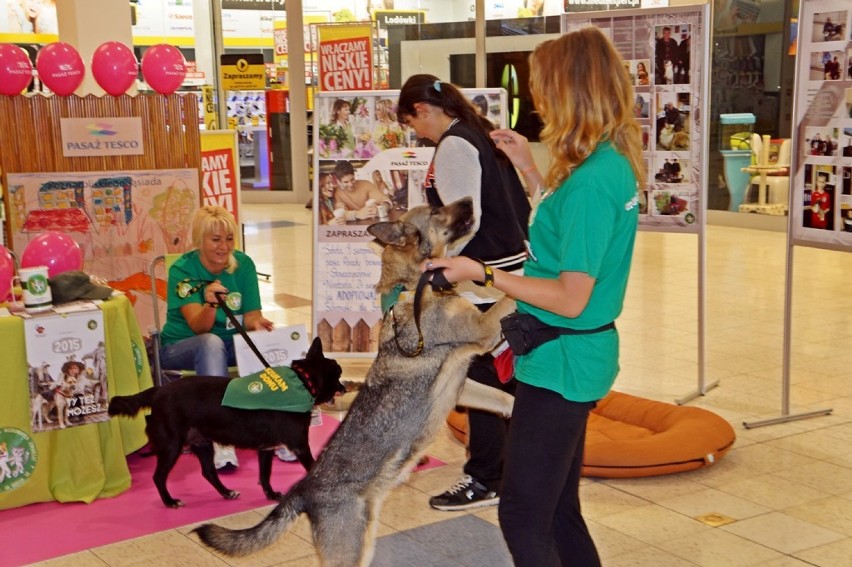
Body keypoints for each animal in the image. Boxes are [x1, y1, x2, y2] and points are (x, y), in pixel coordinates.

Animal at [108, 338, 344, 510]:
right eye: (338, 374)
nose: (345, 387)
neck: (301, 382)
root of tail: (158, 391)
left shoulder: (266, 449)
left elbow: (265, 475)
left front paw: (270, 494)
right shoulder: (300, 446)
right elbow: (312, 468)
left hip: (201, 442)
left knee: (208, 472)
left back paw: (226, 492)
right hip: (171, 446)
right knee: (158, 477)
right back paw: (170, 501)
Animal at [195, 197, 512, 564]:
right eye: (435, 210)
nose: (471, 201)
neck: (415, 285)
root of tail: (302, 489)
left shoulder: (460, 386)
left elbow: (503, 399)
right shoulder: (485, 330)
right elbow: (508, 297)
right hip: (350, 550)